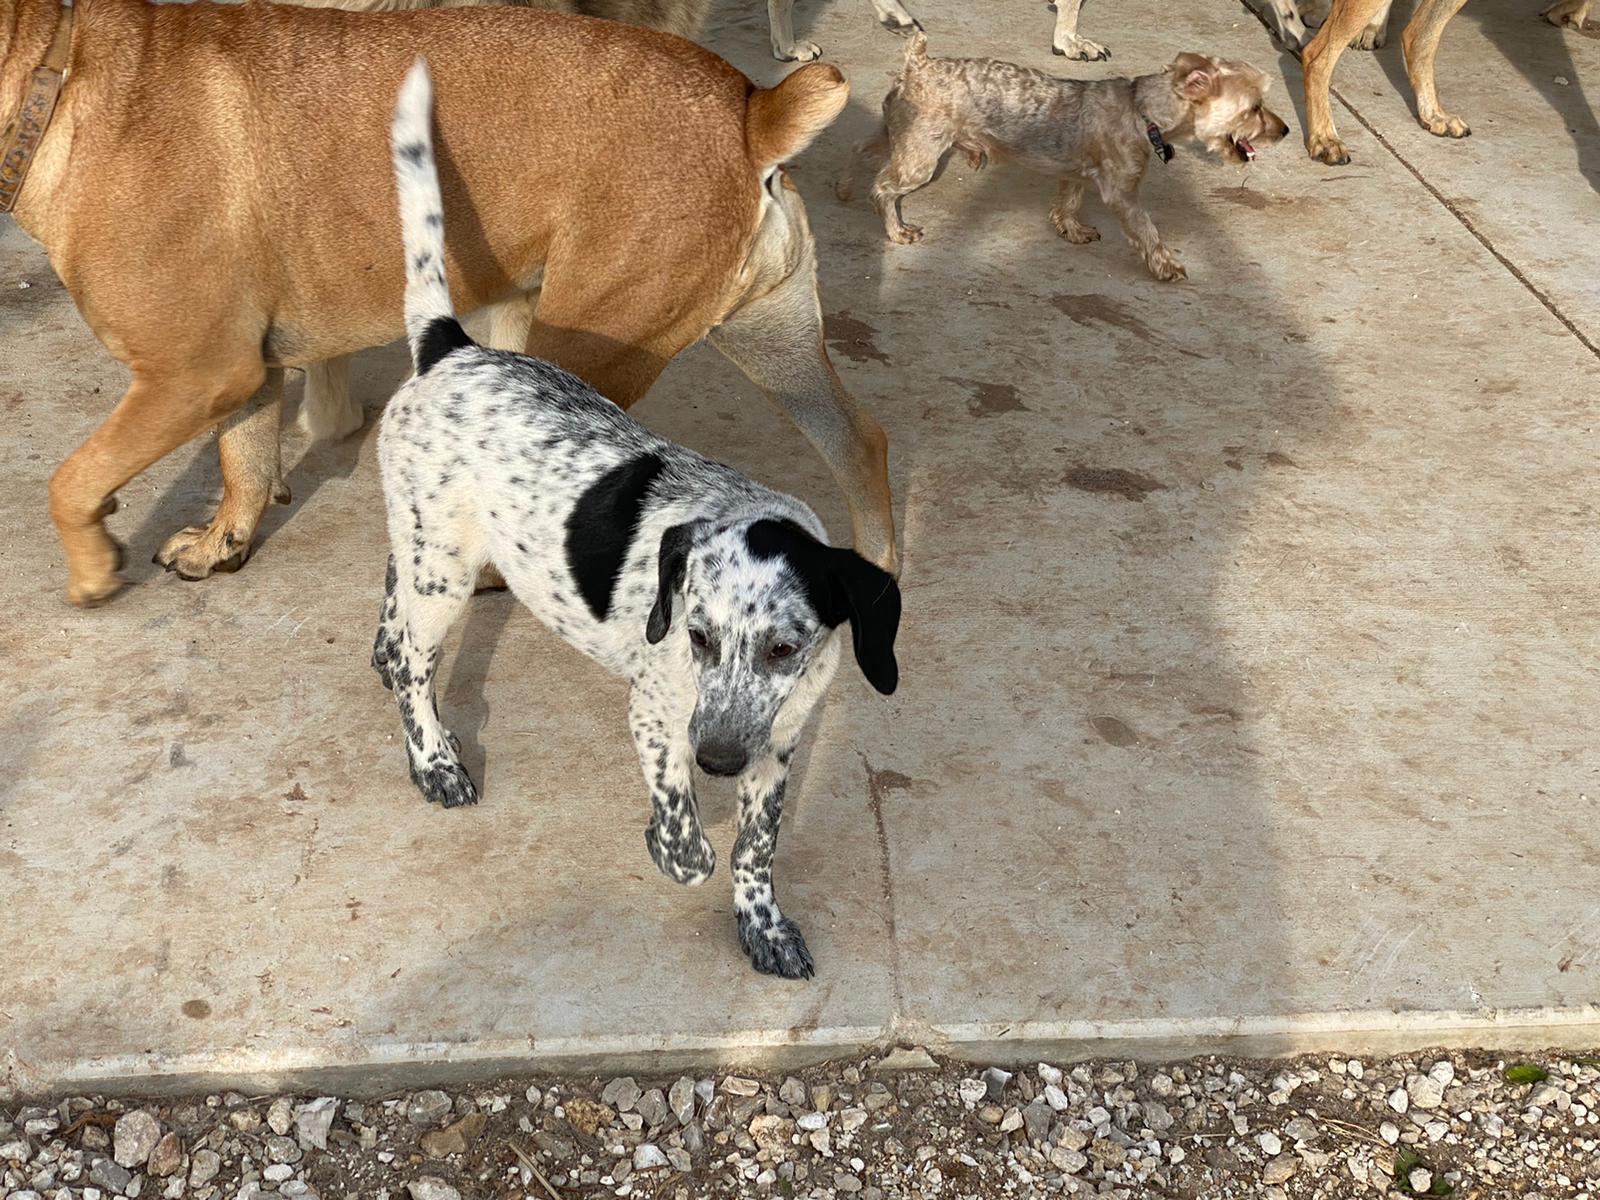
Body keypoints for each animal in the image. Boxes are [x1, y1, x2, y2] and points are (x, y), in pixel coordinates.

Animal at [3, 0, 902, 604]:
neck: (57, 72)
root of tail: (754, 111)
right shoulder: (242, 376)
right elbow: (245, 463)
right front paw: (223, 543)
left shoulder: (190, 376)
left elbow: (72, 479)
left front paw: (93, 570)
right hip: (768, 338)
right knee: (858, 442)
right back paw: (878, 572)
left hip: (590, 345)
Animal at [371, 63, 902, 979]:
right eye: (695, 637)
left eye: (785, 648)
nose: (718, 758)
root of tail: (452, 347)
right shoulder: (658, 715)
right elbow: (691, 845)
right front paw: (667, 842)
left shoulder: (780, 744)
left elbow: (756, 850)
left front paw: (762, 924)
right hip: (446, 570)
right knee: (415, 661)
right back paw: (433, 758)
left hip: (425, 541)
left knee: (393, 594)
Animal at [851, 34, 1286, 281]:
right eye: (1254, 108)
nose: (1284, 130)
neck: (1142, 112)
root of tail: (918, 64)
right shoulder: (1122, 193)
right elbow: (1147, 229)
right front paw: (1166, 266)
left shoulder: (1075, 174)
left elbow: (1069, 202)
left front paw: (1072, 229)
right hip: (921, 156)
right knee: (883, 187)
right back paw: (895, 229)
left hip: (903, 135)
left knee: (863, 151)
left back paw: (844, 187)